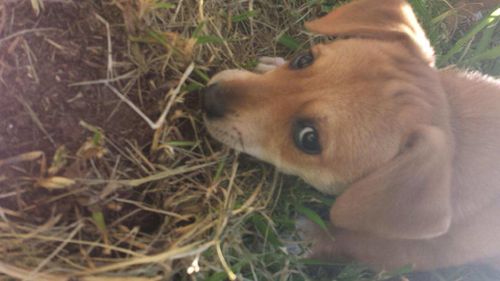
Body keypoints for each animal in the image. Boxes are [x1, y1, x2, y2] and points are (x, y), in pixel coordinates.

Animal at [201, 0, 500, 272]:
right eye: (303, 59)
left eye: (309, 139)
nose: (207, 98)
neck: (458, 123)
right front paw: (270, 65)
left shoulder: (417, 252)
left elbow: (351, 241)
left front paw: (304, 239)